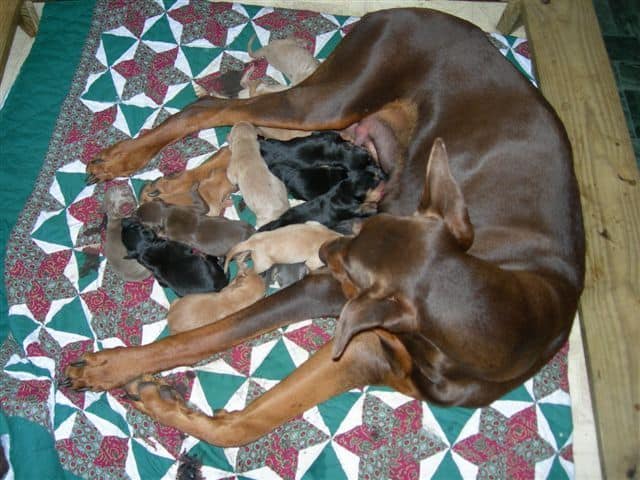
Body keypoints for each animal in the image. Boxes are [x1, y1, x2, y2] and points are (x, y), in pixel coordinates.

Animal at [66, 7, 584, 448]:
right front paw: (110, 366)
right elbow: (206, 337)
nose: (323, 252)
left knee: (243, 139)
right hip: (332, 99)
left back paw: (174, 186)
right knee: (214, 109)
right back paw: (125, 158)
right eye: (346, 258)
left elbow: (244, 426)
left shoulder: (366, 350)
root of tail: (398, 11)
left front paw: (159, 399)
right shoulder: (328, 293)